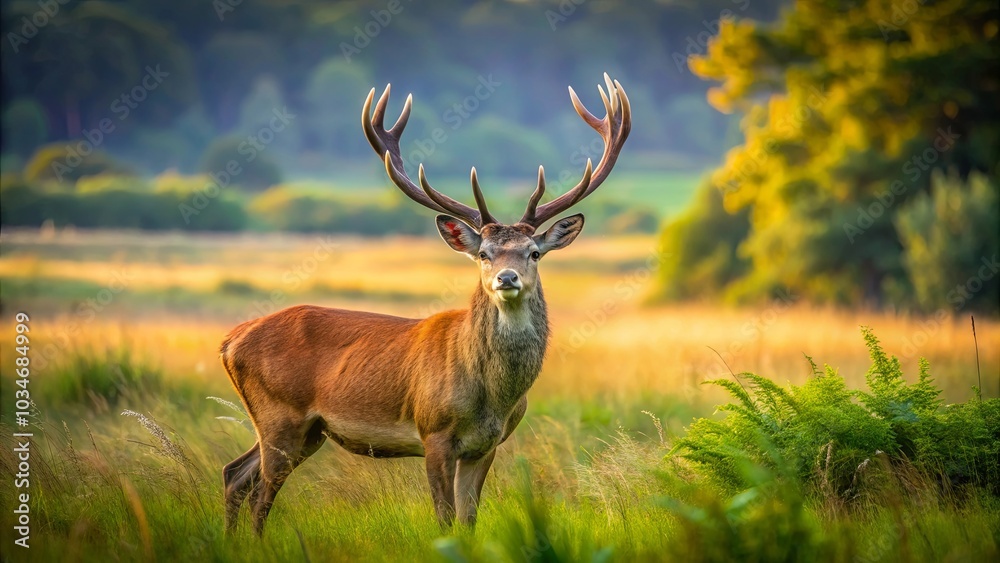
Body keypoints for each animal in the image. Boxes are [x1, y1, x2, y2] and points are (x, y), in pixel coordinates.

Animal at [220, 73, 631, 535]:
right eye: (484, 253)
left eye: (534, 253)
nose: (507, 279)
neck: (492, 397)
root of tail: (229, 341)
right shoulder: (433, 432)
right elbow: (445, 518)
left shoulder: (487, 445)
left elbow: (469, 518)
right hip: (280, 414)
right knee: (261, 491)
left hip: (306, 430)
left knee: (236, 474)